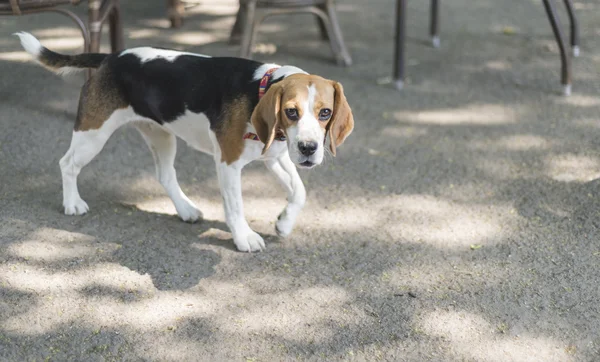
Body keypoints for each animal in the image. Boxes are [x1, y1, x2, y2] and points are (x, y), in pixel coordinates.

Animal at [16, 32, 354, 252]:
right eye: (291, 112)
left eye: (325, 113)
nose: (309, 149)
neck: (259, 87)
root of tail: (111, 58)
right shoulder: (228, 163)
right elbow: (235, 206)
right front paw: (244, 238)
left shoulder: (275, 156)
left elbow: (299, 191)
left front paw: (284, 223)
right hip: (93, 134)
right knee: (67, 164)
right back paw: (72, 203)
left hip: (162, 136)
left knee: (165, 175)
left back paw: (186, 209)